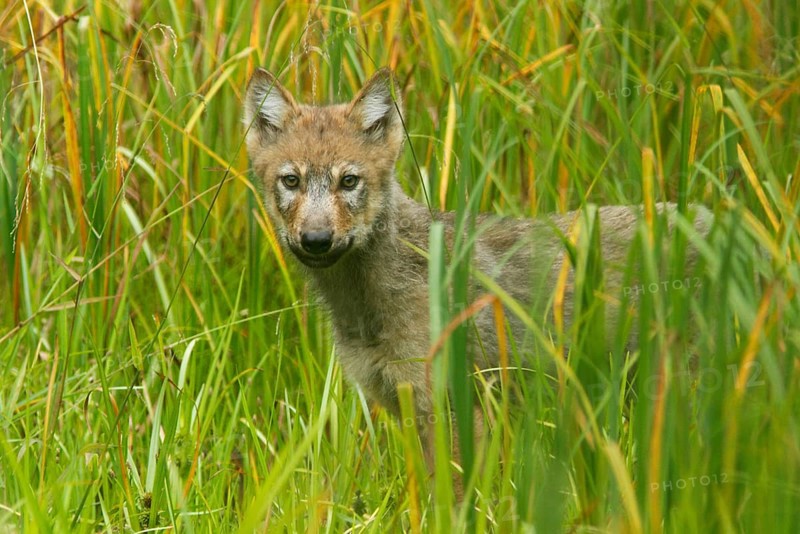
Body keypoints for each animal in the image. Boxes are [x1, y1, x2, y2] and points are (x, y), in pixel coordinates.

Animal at [243, 67, 712, 470]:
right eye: (291, 181)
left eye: (349, 181)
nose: (316, 239)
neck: (365, 308)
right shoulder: (406, 407)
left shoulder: (454, 411)